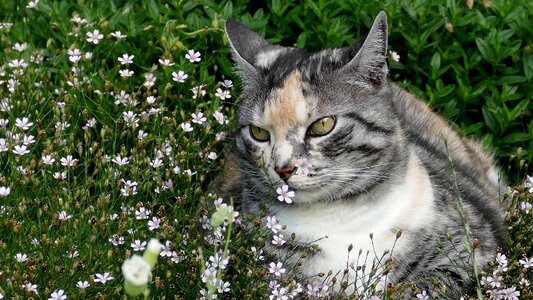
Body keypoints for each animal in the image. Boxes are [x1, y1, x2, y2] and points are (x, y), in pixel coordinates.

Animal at [215, 11, 502, 298]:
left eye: (323, 125)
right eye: (258, 133)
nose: (283, 168)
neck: (342, 216)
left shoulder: (475, 244)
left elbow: (433, 282)